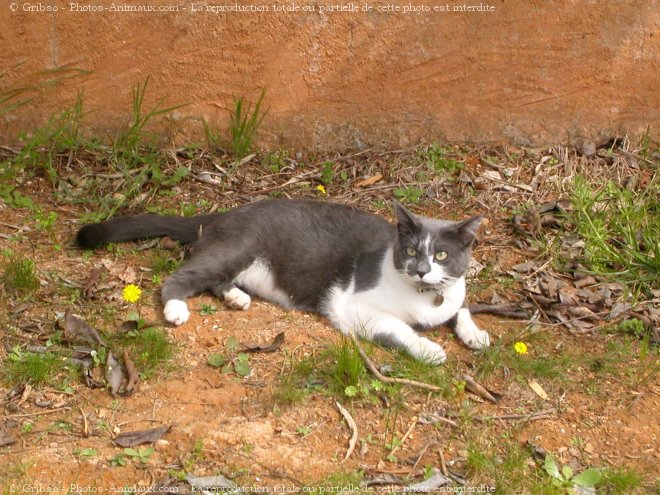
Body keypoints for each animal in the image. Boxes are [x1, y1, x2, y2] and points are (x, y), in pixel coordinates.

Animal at [77, 199, 490, 364]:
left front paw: (476, 335)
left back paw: (236, 298)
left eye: (441, 256)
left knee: (214, 279)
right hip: (236, 249)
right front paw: (429, 349)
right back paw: (176, 309)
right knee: (181, 277)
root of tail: (223, 213)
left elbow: (462, 307)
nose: (421, 270)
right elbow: (398, 328)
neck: (424, 296)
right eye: (410, 251)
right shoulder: (352, 307)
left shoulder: (453, 292)